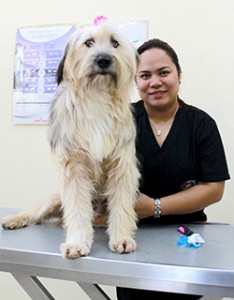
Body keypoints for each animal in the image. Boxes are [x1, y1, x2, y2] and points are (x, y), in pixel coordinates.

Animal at [1, 22, 140, 258]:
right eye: (88, 42)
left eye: (114, 43)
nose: (103, 60)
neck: (97, 97)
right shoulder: (74, 167)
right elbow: (76, 208)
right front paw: (77, 242)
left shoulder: (121, 167)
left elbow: (122, 206)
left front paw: (121, 237)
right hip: (55, 198)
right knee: (37, 212)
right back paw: (15, 219)